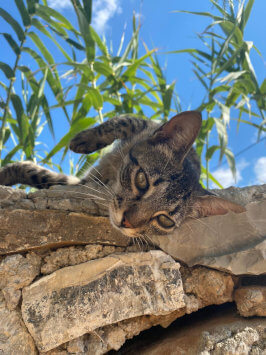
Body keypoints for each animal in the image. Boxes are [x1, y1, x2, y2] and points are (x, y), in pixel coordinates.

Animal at [0, 111, 244, 239]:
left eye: (164, 220)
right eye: (142, 180)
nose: (126, 222)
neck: (113, 171)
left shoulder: (83, 183)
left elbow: (44, 177)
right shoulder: (145, 126)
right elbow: (124, 119)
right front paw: (83, 139)